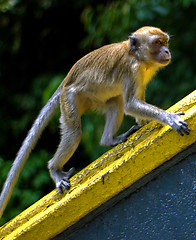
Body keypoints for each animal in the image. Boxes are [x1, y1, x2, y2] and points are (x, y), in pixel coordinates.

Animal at [0, 26, 190, 219]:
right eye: (157, 43)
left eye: (165, 42)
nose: (166, 51)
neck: (137, 56)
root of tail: (66, 80)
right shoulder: (131, 69)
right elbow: (131, 104)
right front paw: (170, 118)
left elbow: (134, 102)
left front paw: (146, 122)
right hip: (70, 99)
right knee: (75, 133)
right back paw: (55, 168)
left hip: (93, 99)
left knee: (115, 102)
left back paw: (109, 140)